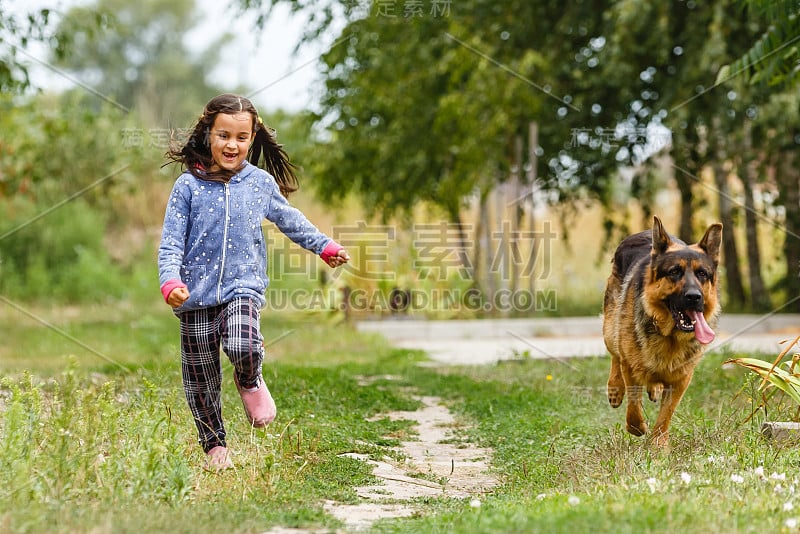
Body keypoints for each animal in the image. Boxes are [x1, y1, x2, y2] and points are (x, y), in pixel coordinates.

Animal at [604, 218, 720, 448]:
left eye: (702, 274)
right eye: (674, 272)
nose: (694, 297)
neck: (669, 336)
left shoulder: (681, 379)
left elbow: (666, 414)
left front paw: (658, 444)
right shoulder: (630, 367)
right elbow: (633, 408)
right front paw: (638, 427)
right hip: (610, 330)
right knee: (615, 356)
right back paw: (615, 389)